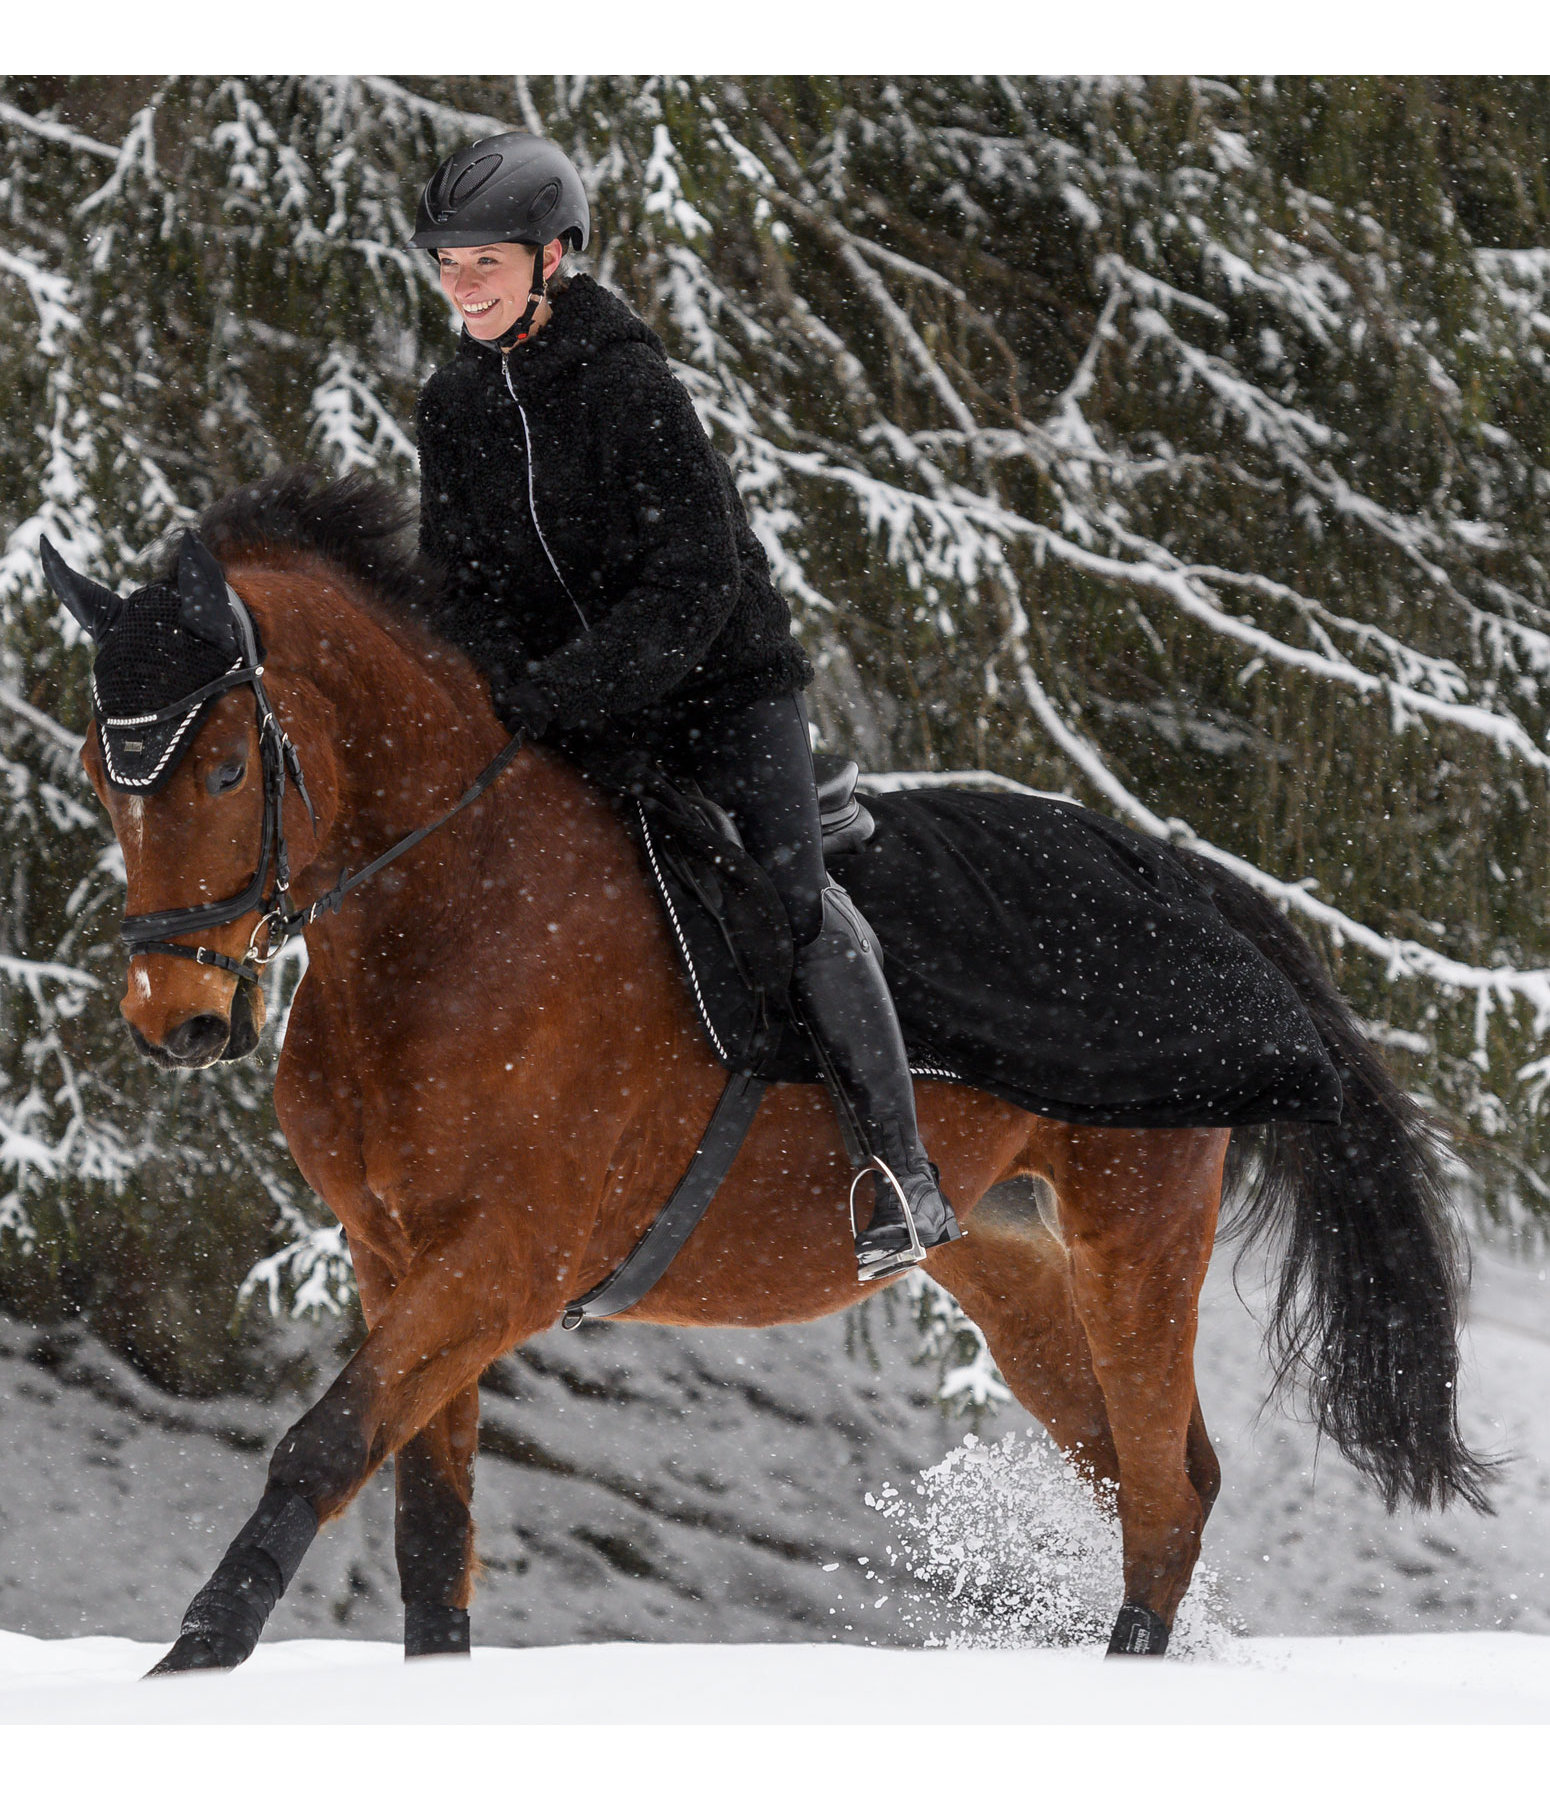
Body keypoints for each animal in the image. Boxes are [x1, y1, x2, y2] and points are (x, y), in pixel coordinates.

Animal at [42, 468, 1483, 1670]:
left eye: (228, 767)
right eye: (99, 776)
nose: (176, 1019)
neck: (452, 917)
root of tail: (1174, 868)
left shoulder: (506, 1260)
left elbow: (323, 1444)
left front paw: (191, 1665)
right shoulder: (393, 1255)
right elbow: (427, 1523)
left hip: (1136, 1232)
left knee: (1165, 1494)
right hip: (1007, 1261)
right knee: (1141, 1473)